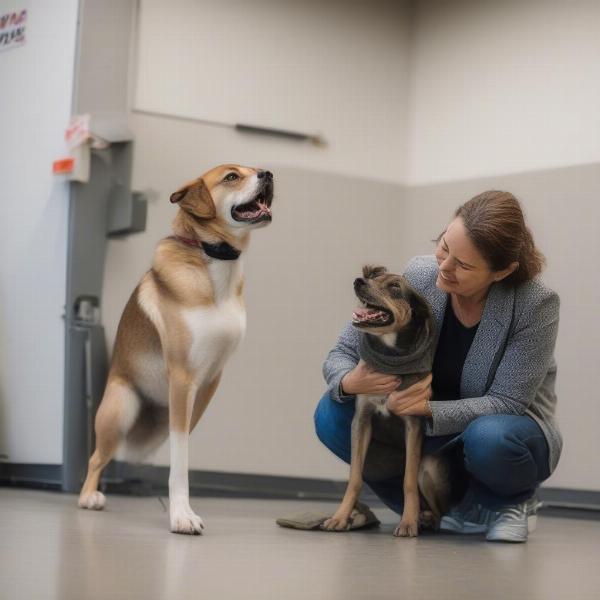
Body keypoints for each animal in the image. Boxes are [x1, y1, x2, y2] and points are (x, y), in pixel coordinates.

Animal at [78, 164, 274, 536]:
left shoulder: (209, 383)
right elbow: (179, 460)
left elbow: (181, 449)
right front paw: (181, 514)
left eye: (255, 169)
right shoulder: (183, 379)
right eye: (231, 177)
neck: (211, 259)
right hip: (119, 411)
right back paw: (88, 496)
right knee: (96, 458)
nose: (269, 174)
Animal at [322, 264, 448, 536]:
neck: (389, 357)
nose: (358, 281)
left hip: (429, 467)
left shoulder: (412, 424)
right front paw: (341, 516)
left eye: (394, 288)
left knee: (438, 508)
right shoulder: (362, 420)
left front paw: (408, 522)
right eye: (372, 277)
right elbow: (355, 478)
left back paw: (426, 518)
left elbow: (408, 481)